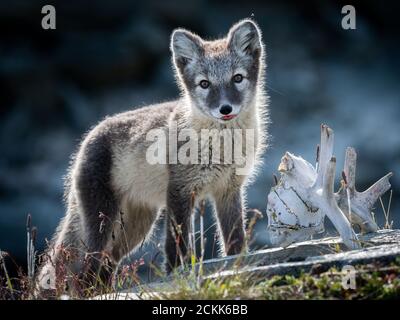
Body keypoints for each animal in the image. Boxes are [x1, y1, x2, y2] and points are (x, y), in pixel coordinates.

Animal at [37, 18, 268, 290]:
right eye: (204, 84)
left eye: (237, 78)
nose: (225, 109)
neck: (223, 147)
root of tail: (86, 140)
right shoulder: (180, 191)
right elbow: (176, 246)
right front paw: (178, 276)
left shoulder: (229, 190)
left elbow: (235, 241)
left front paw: (237, 269)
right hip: (103, 223)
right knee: (84, 273)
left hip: (134, 229)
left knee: (105, 268)